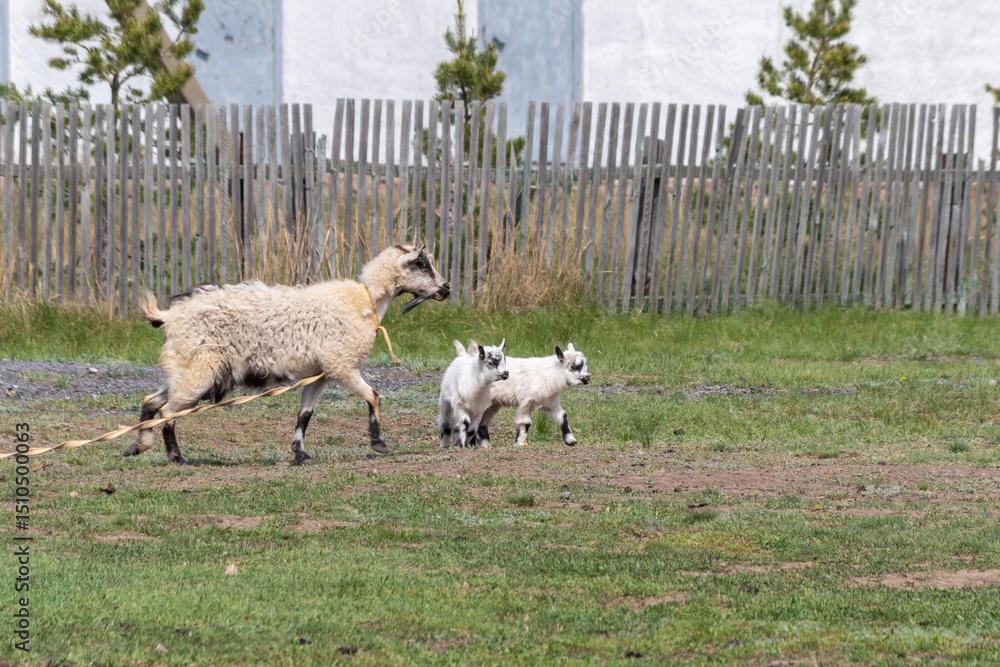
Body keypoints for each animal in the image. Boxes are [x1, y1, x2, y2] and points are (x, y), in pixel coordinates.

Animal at [126, 244, 449, 464]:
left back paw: (139, 445)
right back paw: (176, 456)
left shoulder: (318, 375)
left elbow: (305, 414)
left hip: (185, 368)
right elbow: (373, 395)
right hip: (198, 372)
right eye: (421, 263)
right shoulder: (341, 365)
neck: (365, 301)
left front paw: (300, 454)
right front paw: (379, 442)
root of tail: (169, 315)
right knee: (168, 411)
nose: (446, 289)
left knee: (151, 401)